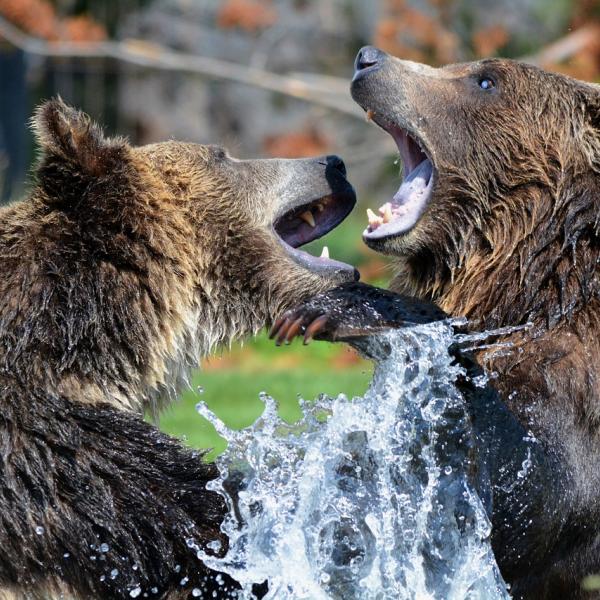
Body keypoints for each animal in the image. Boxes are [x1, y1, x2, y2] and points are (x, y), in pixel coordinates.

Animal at [270, 48, 600, 600]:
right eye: (459, 66)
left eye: (485, 81)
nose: (369, 59)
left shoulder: (576, 377)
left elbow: (535, 489)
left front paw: (344, 308)